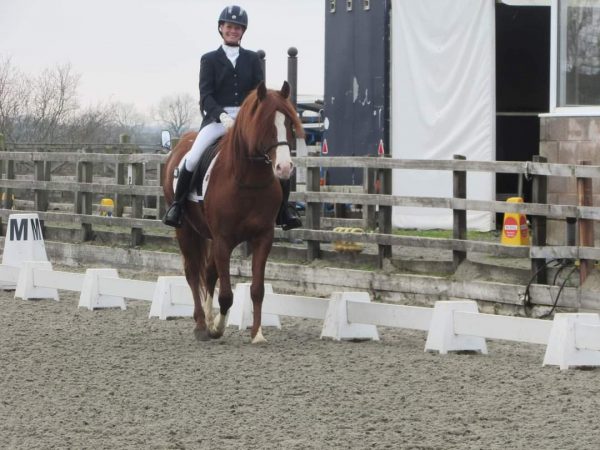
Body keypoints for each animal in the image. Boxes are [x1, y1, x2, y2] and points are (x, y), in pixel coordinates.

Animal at [163, 81, 304, 342]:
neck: (248, 180)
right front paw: (217, 328)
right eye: (265, 124)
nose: (284, 168)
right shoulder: (223, 240)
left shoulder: (263, 237)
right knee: (192, 272)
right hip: (185, 230)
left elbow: (257, 290)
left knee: (208, 273)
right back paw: (201, 326)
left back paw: (208, 320)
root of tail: (181, 144)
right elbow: (226, 294)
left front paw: (257, 334)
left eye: (289, 124)